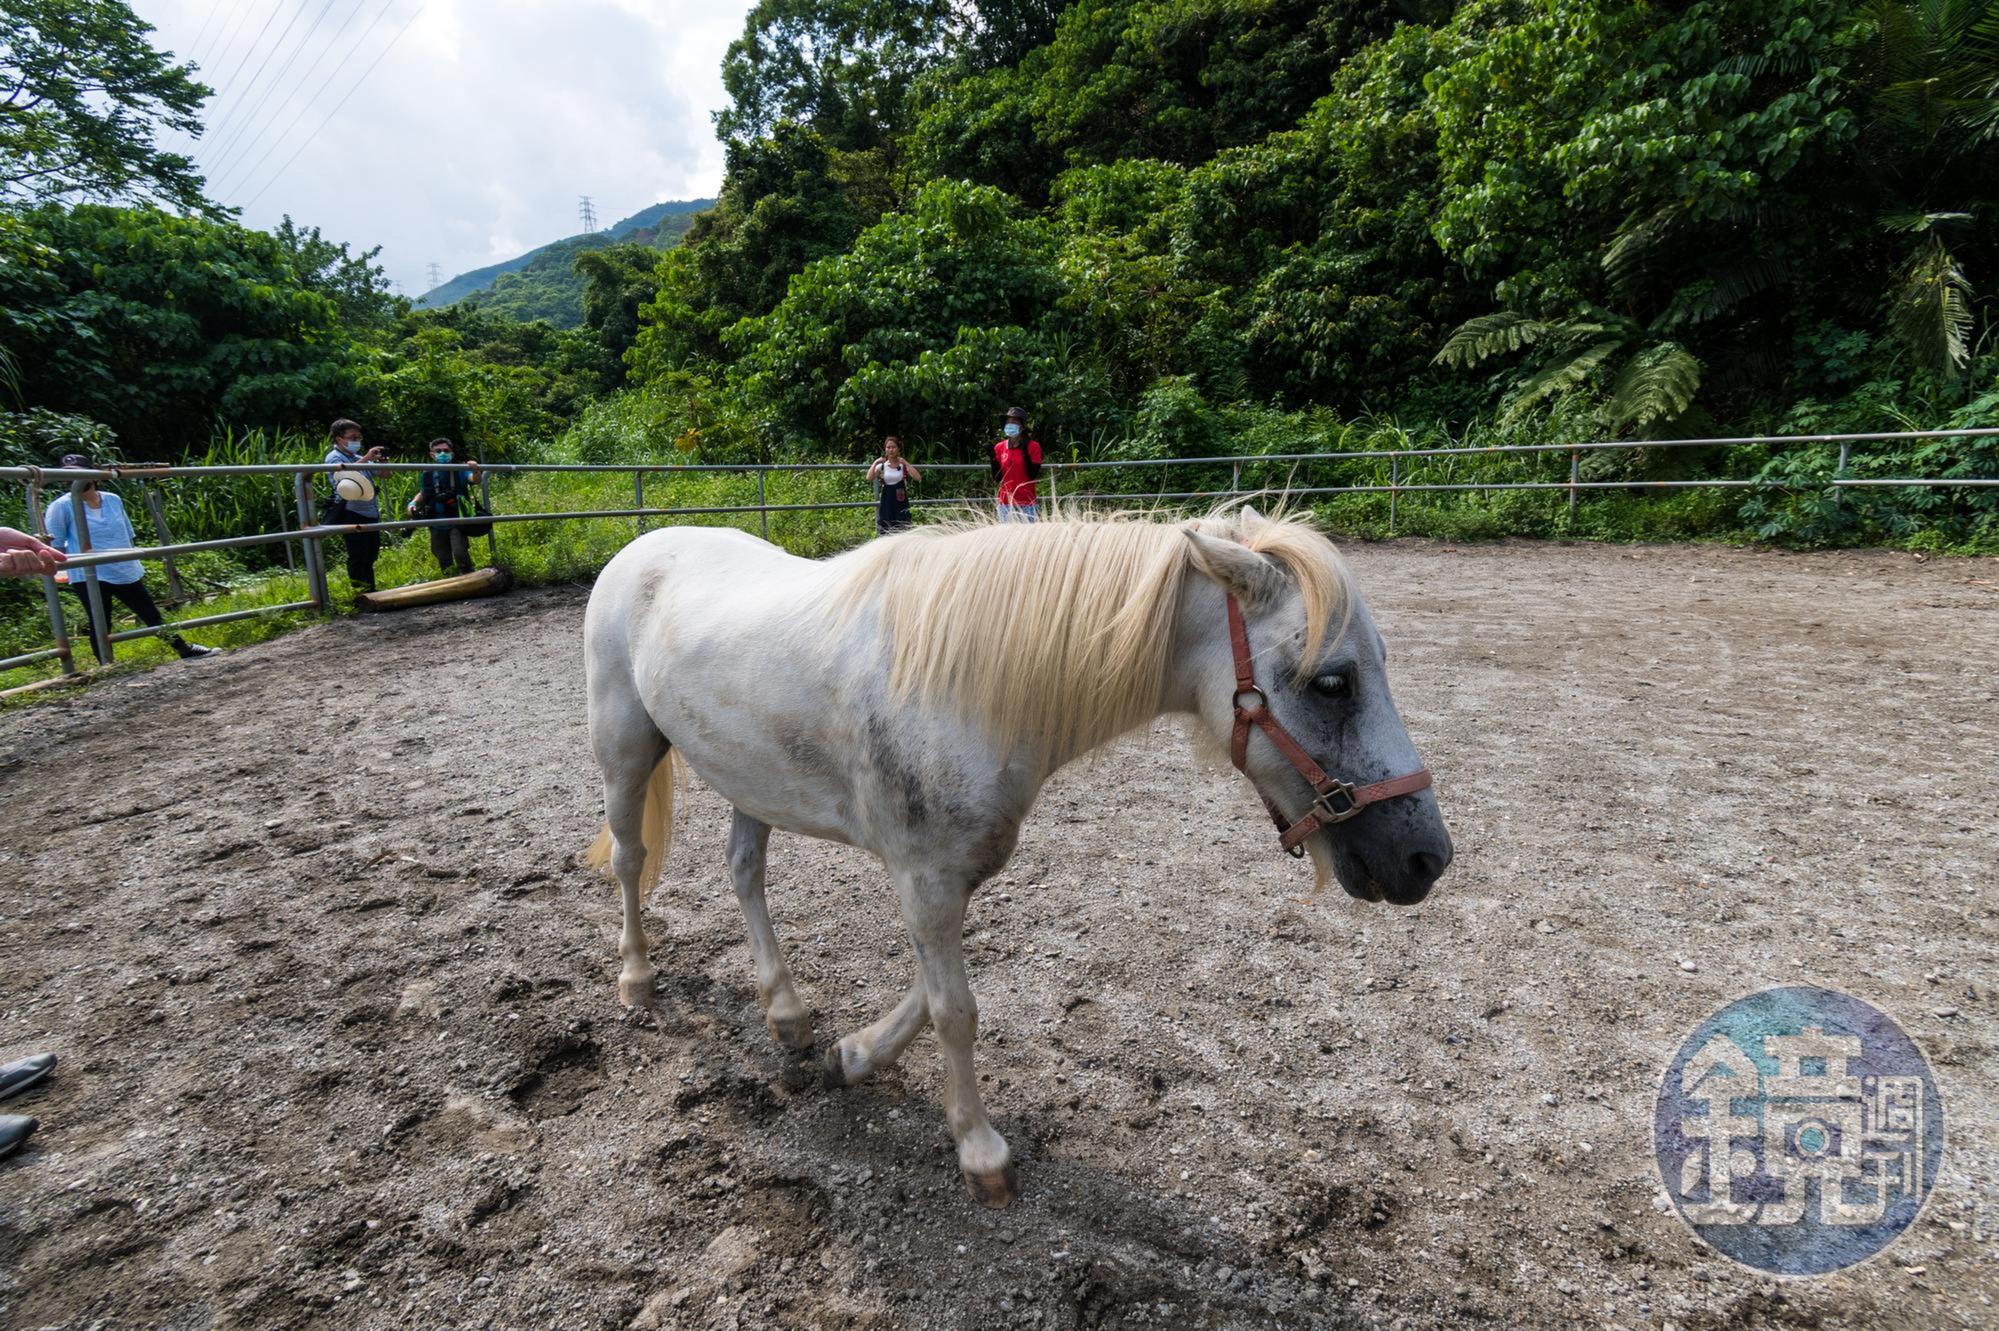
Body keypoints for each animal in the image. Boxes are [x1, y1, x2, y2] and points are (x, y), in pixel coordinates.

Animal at [583, 504, 1452, 1206]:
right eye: (1332, 681)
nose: (1426, 857)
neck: (958, 685)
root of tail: (643, 546)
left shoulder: (953, 870)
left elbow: (930, 991)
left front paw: (852, 1055)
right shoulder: (925, 875)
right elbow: (955, 1009)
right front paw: (980, 1151)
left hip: (749, 781)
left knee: (744, 872)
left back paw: (788, 1013)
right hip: (625, 752)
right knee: (629, 860)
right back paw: (636, 979)